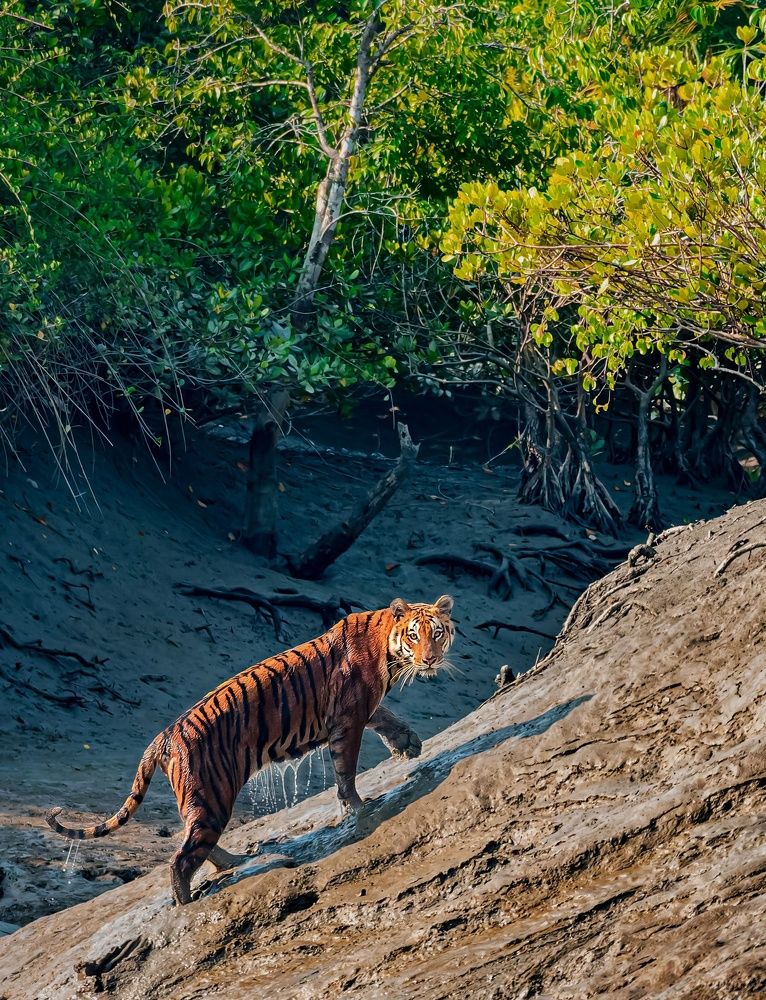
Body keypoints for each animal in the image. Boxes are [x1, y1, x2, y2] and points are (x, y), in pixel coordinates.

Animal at [47, 594, 455, 905]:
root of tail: (163, 736)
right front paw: (356, 807)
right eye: (415, 636)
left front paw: (408, 743)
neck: (387, 644)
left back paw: (232, 860)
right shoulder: (348, 719)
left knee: (192, 840)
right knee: (181, 857)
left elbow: (385, 717)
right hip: (212, 795)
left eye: (437, 633)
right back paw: (186, 902)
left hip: (202, 799)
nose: (430, 659)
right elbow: (346, 770)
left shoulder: (358, 710)